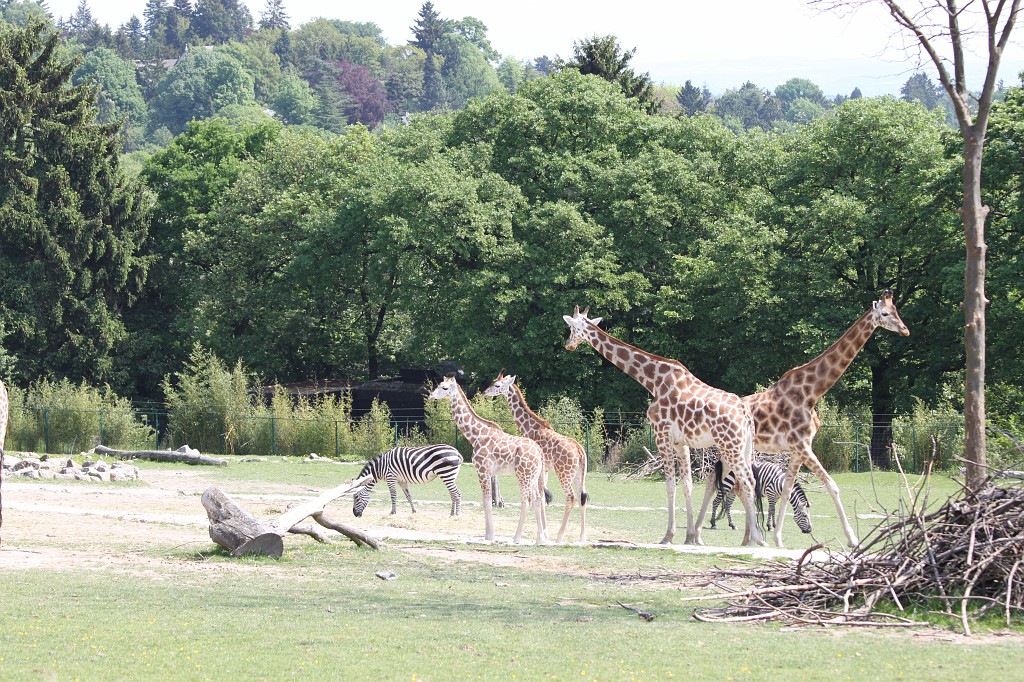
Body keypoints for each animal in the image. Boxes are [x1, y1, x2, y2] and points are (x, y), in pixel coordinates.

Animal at [428, 375, 548, 544]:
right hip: (534, 476)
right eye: (438, 385)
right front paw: (487, 534)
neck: (476, 435)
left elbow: (487, 503)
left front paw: (490, 536)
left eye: (444, 388)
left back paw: (516, 538)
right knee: (538, 500)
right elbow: (486, 502)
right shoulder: (489, 472)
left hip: (523, 475)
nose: (431, 396)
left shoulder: (482, 469)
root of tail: (539, 452)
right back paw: (540, 540)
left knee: (526, 502)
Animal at [483, 371, 589, 543]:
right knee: (582, 497)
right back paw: (582, 537)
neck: (530, 428)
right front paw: (544, 533)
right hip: (579, 474)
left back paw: (560, 536)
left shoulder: (539, 468)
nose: (485, 393)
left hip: (564, 473)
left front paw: (544, 535)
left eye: (497, 385)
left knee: (571, 497)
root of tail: (580, 451)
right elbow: (543, 499)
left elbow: (539, 497)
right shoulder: (544, 470)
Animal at [563, 306, 764, 546]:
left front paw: (668, 536)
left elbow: (670, 484)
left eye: (572, 328)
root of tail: (745, 414)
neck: (653, 381)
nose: (568, 344)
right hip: (743, 447)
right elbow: (686, 485)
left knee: (748, 481)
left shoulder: (662, 435)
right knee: (744, 483)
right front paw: (690, 537)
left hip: (730, 445)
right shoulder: (681, 443)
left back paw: (755, 540)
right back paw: (748, 538)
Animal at [730, 291, 910, 548]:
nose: (905, 330)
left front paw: (778, 539)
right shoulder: (802, 445)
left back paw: (749, 539)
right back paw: (750, 538)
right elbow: (832, 486)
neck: (812, 393)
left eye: (897, 311)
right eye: (885, 313)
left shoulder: (798, 448)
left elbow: (787, 489)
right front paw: (852, 539)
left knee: (741, 485)